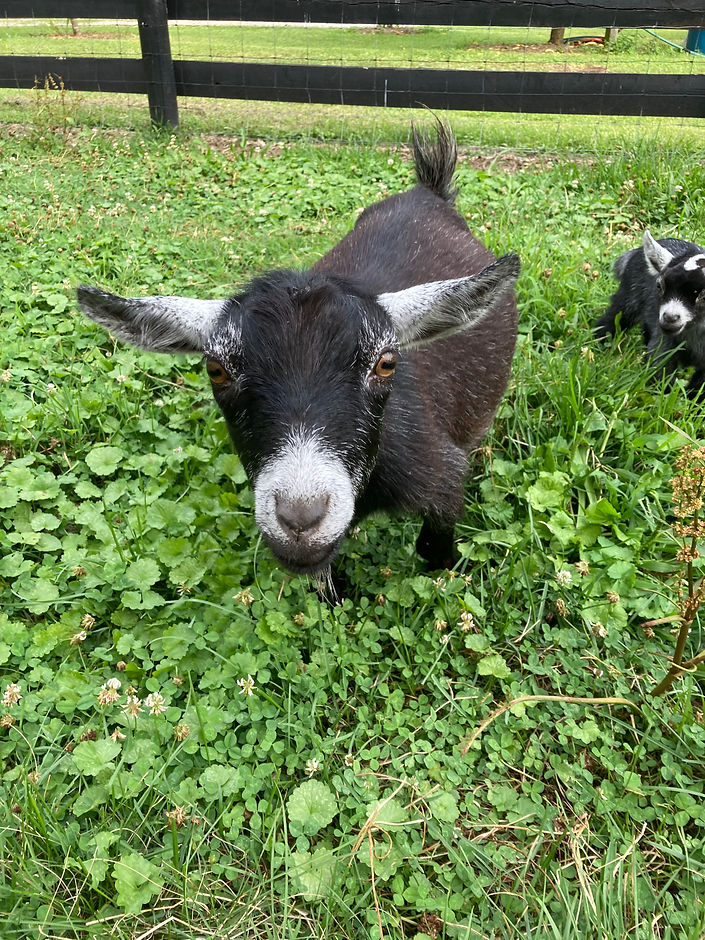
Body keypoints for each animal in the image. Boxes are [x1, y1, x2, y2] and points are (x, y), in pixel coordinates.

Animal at [77, 122, 520, 575]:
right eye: (216, 370)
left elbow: (434, 550)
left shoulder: (444, 478)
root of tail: (428, 192)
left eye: (386, 364)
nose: (301, 518)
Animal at [595, 230, 705, 397]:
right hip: (629, 297)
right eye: (659, 286)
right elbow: (659, 371)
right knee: (612, 320)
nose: (670, 318)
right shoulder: (664, 343)